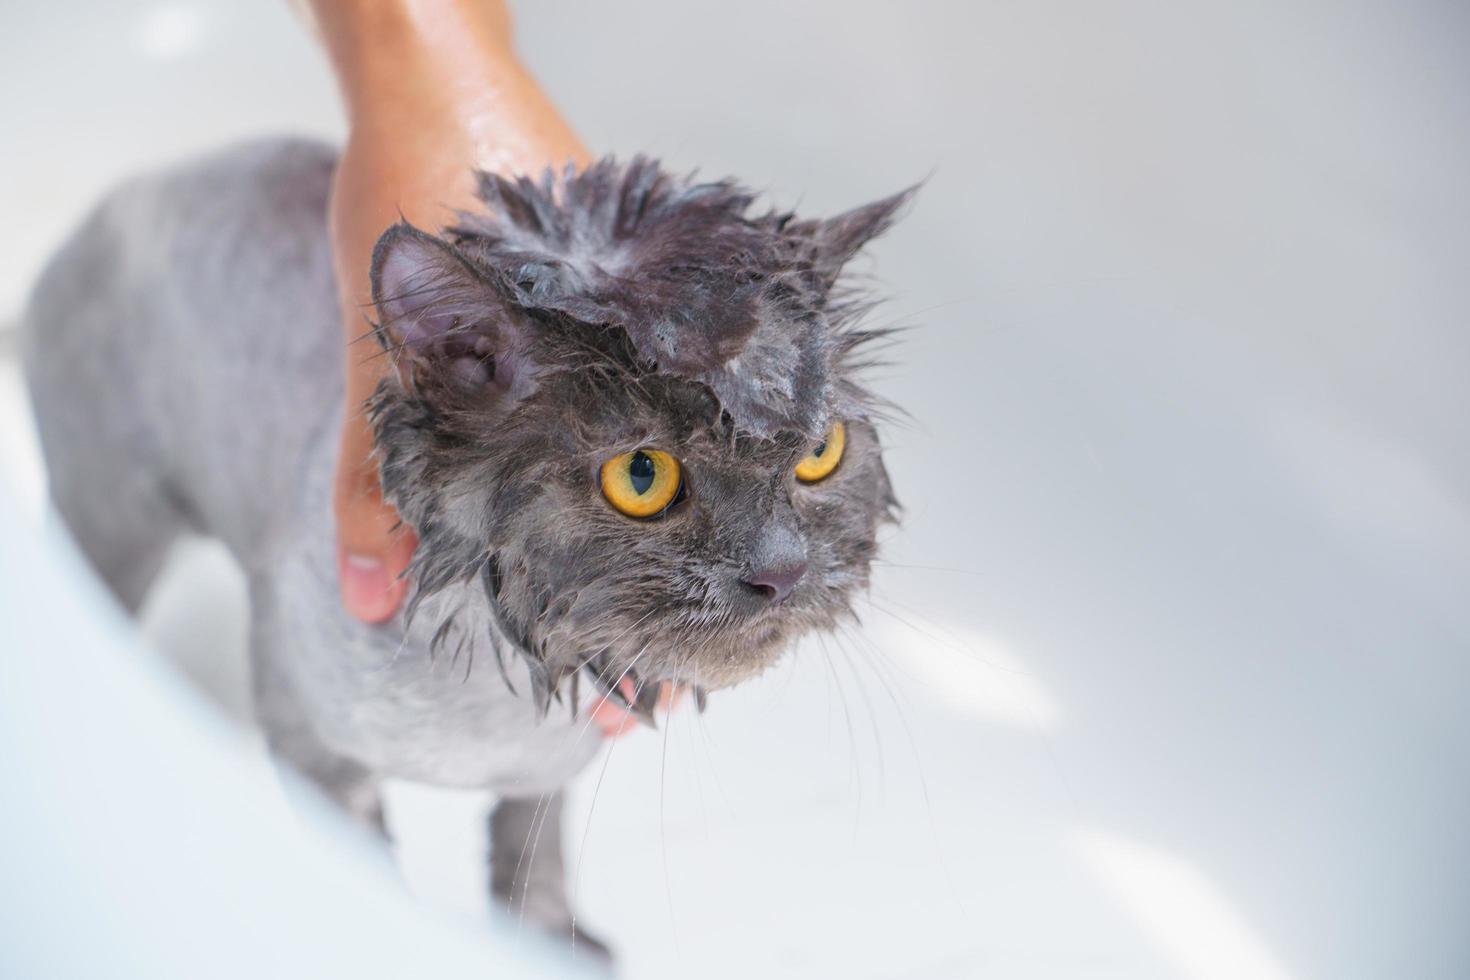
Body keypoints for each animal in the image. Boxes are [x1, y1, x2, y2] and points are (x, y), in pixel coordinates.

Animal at [20, 138, 905, 957]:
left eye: (819, 450)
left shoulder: (546, 776)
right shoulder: (313, 746)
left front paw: (545, 943)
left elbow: (533, 862)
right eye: (642, 475)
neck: (489, 704)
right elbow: (371, 877)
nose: (782, 570)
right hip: (113, 523)